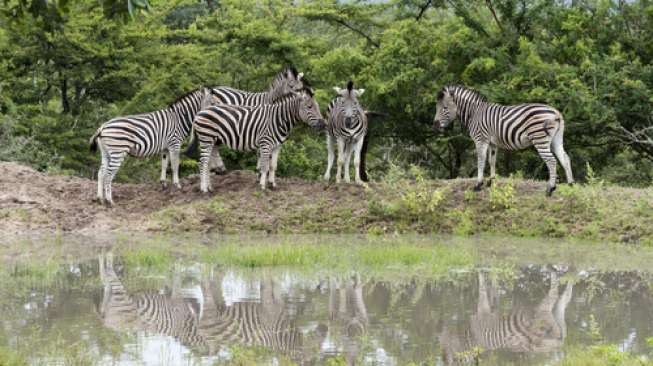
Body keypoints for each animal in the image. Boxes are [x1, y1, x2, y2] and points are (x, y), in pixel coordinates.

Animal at [89, 86, 223, 206]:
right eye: (213, 102)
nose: (218, 113)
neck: (179, 118)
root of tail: (102, 127)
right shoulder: (175, 144)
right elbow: (175, 165)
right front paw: (177, 185)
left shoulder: (165, 148)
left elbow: (164, 165)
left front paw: (163, 183)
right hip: (117, 152)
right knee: (108, 175)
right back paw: (110, 201)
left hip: (106, 153)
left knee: (101, 173)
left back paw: (100, 199)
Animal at [192, 88, 324, 192]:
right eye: (309, 107)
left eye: (317, 107)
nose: (323, 124)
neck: (278, 119)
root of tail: (201, 111)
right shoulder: (265, 143)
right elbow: (265, 166)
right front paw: (262, 186)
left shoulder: (277, 146)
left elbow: (273, 166)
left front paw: (272, 184)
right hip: (206, 138)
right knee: (203, 163)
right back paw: (204, 189)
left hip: (213, 141)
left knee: (208, 163)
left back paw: (210, 187)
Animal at [436, 86, 572, 196]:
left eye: (444, 108)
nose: (434, 126)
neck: (474, 113)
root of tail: (556, 112)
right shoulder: (492, 143)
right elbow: (492, 161)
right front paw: (491, 182)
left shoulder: (481, 140)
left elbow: (481, 161)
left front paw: (478, 185)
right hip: (556, 139)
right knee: (565, 158)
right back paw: (570, 184)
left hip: (540, 139)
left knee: (551, 160)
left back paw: (550, 189)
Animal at [438, 270, 572, 364]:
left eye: (445, 343)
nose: (441, 328)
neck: (472, 338)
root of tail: (557, 344)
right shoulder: (491, 311)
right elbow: (493, 289)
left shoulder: (482, 312)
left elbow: (482, 288)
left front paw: (481, 273)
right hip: (557, 323)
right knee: (564, 301)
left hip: (542, 314)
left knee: (554, 294)